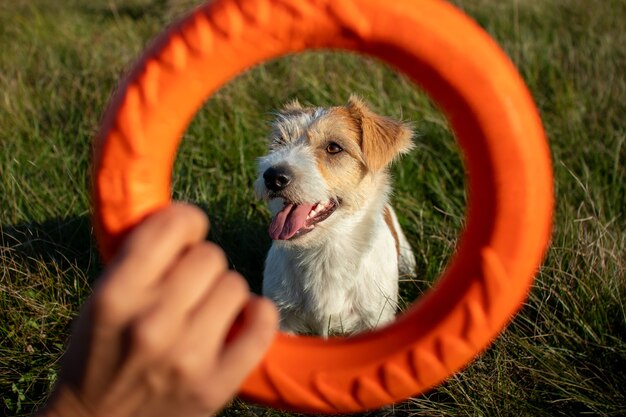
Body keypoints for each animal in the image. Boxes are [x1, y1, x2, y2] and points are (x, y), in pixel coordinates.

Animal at [254, 95, 414, 334]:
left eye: (333, 147)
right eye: (280, 141)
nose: (272, 177)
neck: (324, 249)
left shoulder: (374, 318)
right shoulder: (282, 318)